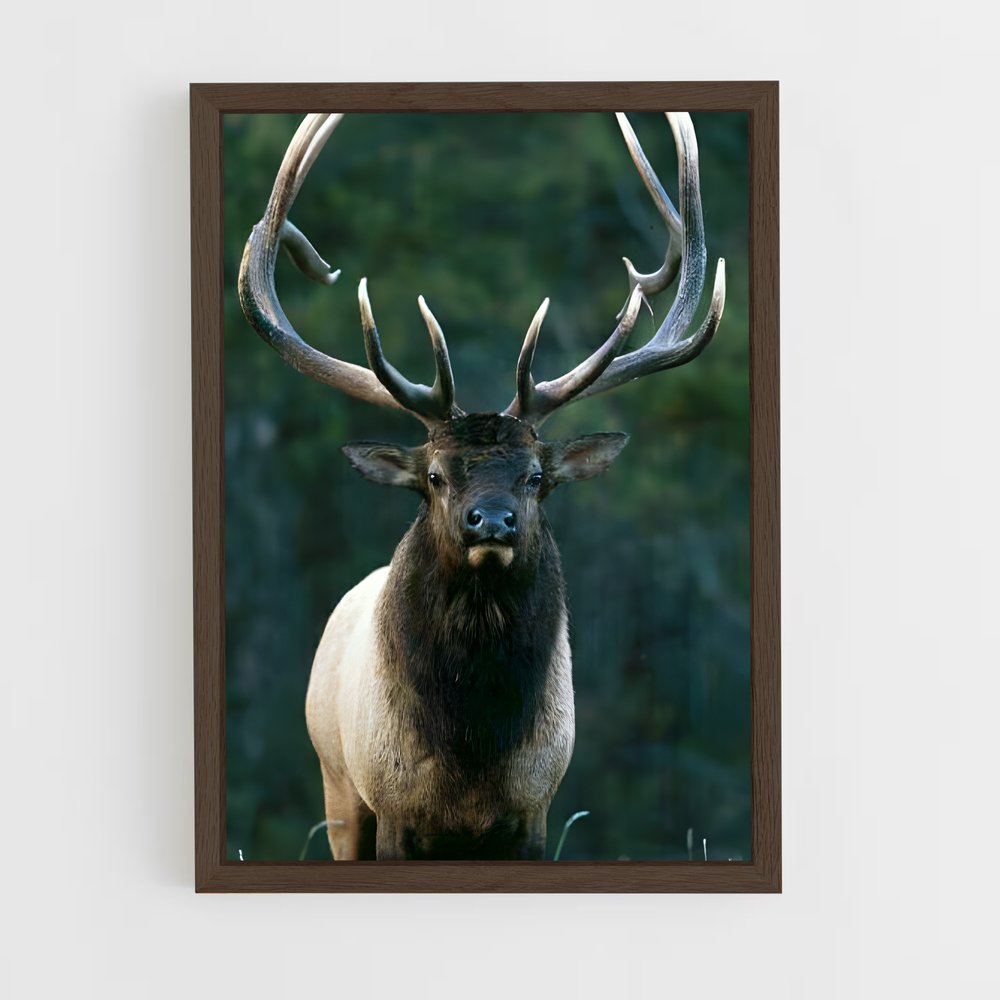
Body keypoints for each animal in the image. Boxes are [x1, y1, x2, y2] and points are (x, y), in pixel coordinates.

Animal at [238, 112, 726, 860]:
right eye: (435, 476)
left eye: (536, 478)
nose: (491, 522)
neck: (472, 754)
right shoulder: (392, 807)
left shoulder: (535, 808)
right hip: (338, 788)